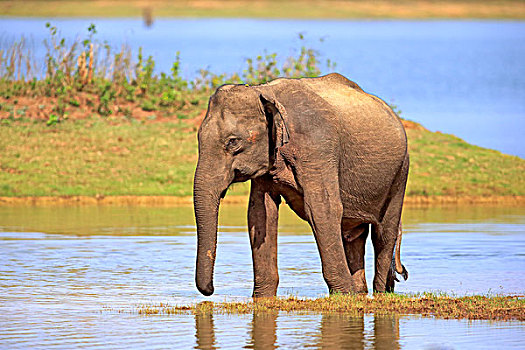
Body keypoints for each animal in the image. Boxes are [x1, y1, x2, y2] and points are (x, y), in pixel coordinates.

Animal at [194, 72, 408, 296]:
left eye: (233, 142)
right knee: (353, 235)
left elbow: (322, 208)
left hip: (400, 172)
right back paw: (359, 292)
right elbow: (260, 213)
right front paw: (262, 298)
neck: (263, 90)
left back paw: (380, 292)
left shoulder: (317, 147)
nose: (211, 290)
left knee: (384, 233)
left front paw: (342, 294)